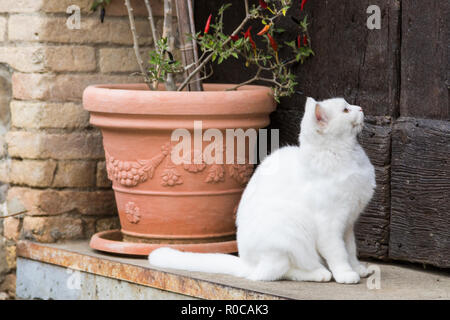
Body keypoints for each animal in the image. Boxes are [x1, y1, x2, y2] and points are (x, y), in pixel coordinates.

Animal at [149, 97, 376, 284]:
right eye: (346, 110)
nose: (361, 108)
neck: (344, 155)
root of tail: (247, 263)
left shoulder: (348, 224)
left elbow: (351, 249)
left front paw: (358, 268)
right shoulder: (329, 224)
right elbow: (338, 253)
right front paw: (346, 274)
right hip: (287, 233)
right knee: (275, 273)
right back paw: (319, 273)